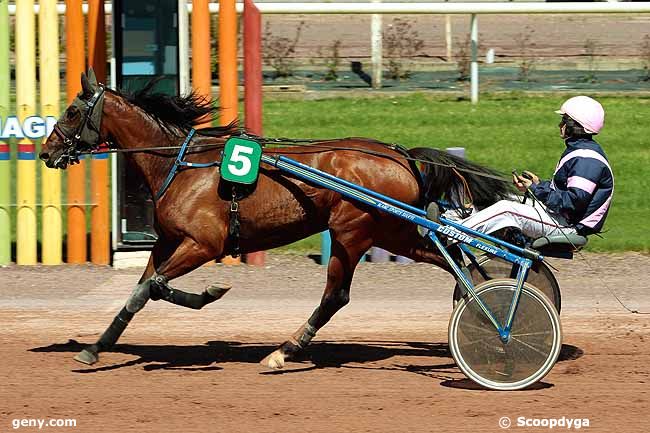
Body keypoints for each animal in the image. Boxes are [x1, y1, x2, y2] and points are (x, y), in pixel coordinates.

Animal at [39, 71, 512, 368]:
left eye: (72, 111)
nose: (46, 152)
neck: (180, 164)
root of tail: (400, 155)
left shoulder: (203, 244)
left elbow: (154, 287)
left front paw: (210, 292)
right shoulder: (168, 241)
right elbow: (138, 293)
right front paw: (96, 348)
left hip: (352, 232)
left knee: (336, 296)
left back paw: (284, 351)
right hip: (389, 232)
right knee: (449, 257)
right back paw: (481, 305)